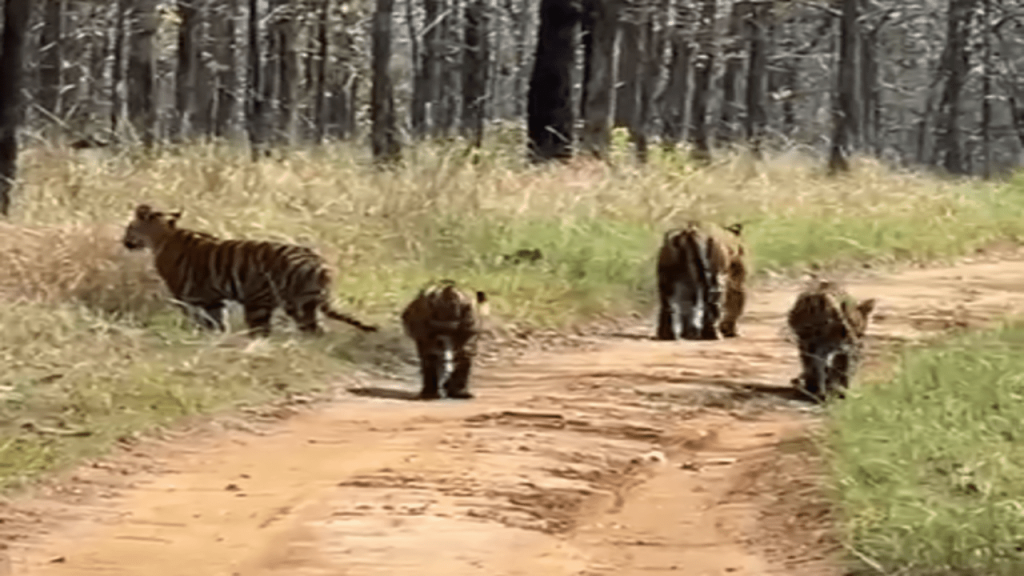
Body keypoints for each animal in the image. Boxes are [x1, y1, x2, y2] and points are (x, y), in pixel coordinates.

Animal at [119, 202, 376, 334]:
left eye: (129, 227)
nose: (124, 241)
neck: (163, 236)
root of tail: (320, 265)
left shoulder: (188, 296)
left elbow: (201, 320)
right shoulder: (213, 298)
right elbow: (217, 321)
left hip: (259, 302)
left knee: (264, 330)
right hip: (300, 304)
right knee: (313, 329)